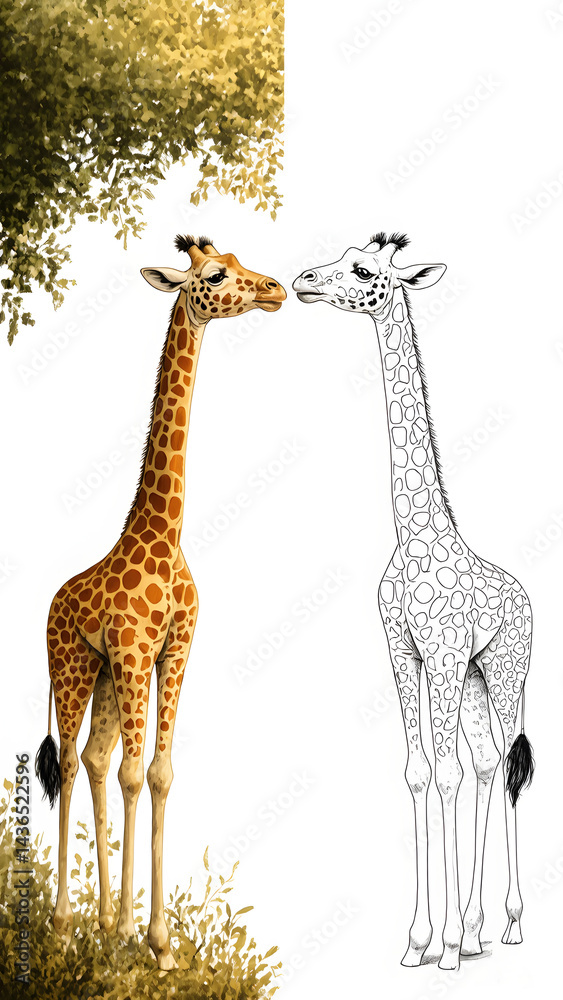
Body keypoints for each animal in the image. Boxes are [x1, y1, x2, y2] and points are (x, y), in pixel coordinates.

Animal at [35, 235, 286, 970]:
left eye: (241, 262)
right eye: (215, 275)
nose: (275, 288)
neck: (164, 534)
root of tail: (51, 603)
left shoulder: (172, 650)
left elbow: (160, 772)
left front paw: (158, 943)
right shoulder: (134, 650)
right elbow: (132, 773)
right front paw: (131, 932)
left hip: (105, 675)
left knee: (91, 759)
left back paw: (92, 921)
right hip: (72, 666)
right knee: (71, 761)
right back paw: (65, 923)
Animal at [293, 233, 534, 972]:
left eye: (364, 270)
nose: (303, 281)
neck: (414, 532)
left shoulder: (446, 654)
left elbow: (447, 774)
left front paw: (446, 945)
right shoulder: (405, 653)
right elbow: (421, 773)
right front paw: (419, 939)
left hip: (506, 672)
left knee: (505, 767)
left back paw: (508, 926)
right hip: (480, 678)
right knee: (487, 764)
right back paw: (482, 927)